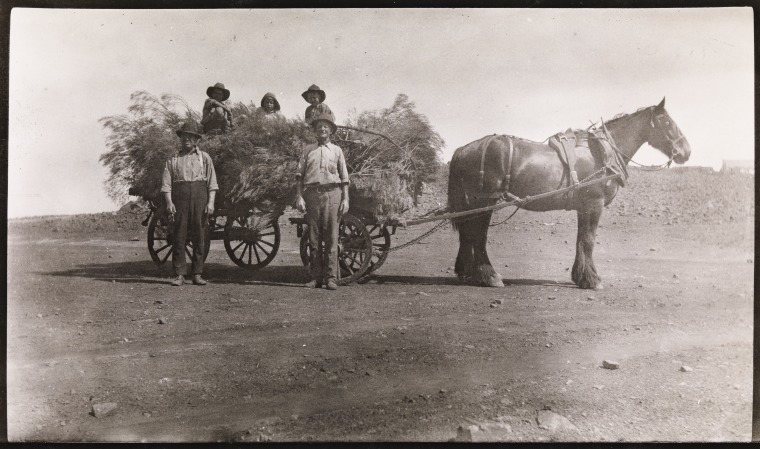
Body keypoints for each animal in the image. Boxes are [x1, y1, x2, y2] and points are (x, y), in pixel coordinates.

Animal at [448, 97, 692, 288]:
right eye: (667, 122)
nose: (686, 152)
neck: (602, 153)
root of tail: (463, 149)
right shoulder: (594, 203)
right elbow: (589, 240)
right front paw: (592, 280)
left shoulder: (584, 206)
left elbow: (580, 240)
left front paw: (581, 276)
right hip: (484, 202)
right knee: (477, 235)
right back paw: (489, 276)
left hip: (473, 203)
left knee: (467, 234)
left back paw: (467, 273)